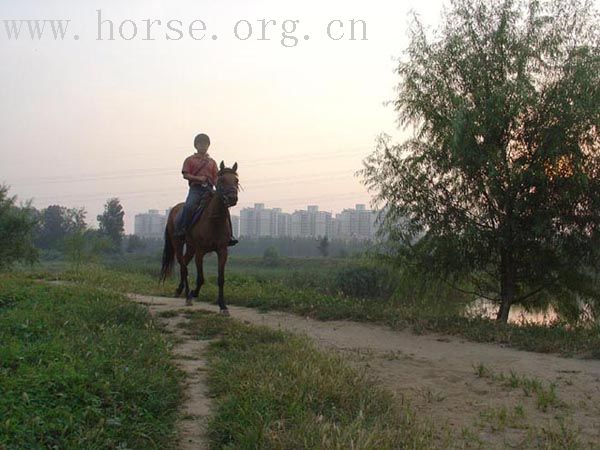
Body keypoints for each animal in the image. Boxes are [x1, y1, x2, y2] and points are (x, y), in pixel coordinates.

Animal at [159, 162, 239, 312]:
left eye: (236, 180)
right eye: (222, 180)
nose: (232, 198)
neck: (214, 221)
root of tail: (173, 210)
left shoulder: (222, 251)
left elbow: (221, 279)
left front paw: (223, 306)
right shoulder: (200, 252)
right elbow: (200, 278)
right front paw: (193, 293)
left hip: (191, 247)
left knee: (184, 263)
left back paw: (180, 290)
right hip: (178, 244)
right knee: (183, 266)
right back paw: (187, 296)